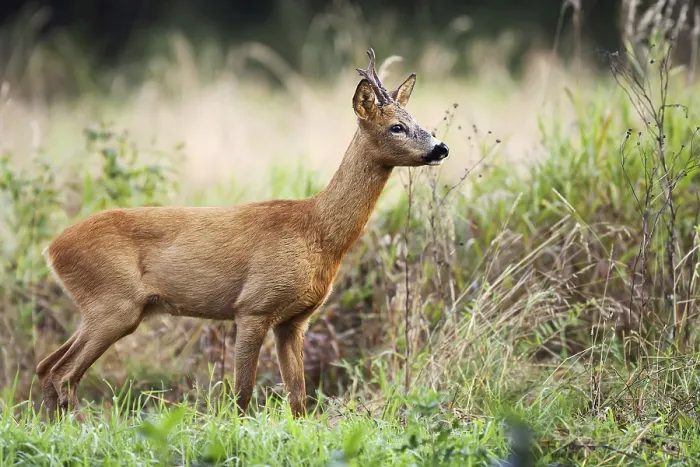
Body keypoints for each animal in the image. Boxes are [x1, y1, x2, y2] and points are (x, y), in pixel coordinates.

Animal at [35, 48, 449, 422]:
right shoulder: (253, 305)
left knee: (46, 367)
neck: (317, 232)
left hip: (104, 308)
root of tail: (51, 249)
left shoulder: (294, 320)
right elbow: (241, 394)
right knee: (63, 372)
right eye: (396, 126)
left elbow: (298, 400)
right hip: (114, 303)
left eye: (415, 119)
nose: (441, 147)